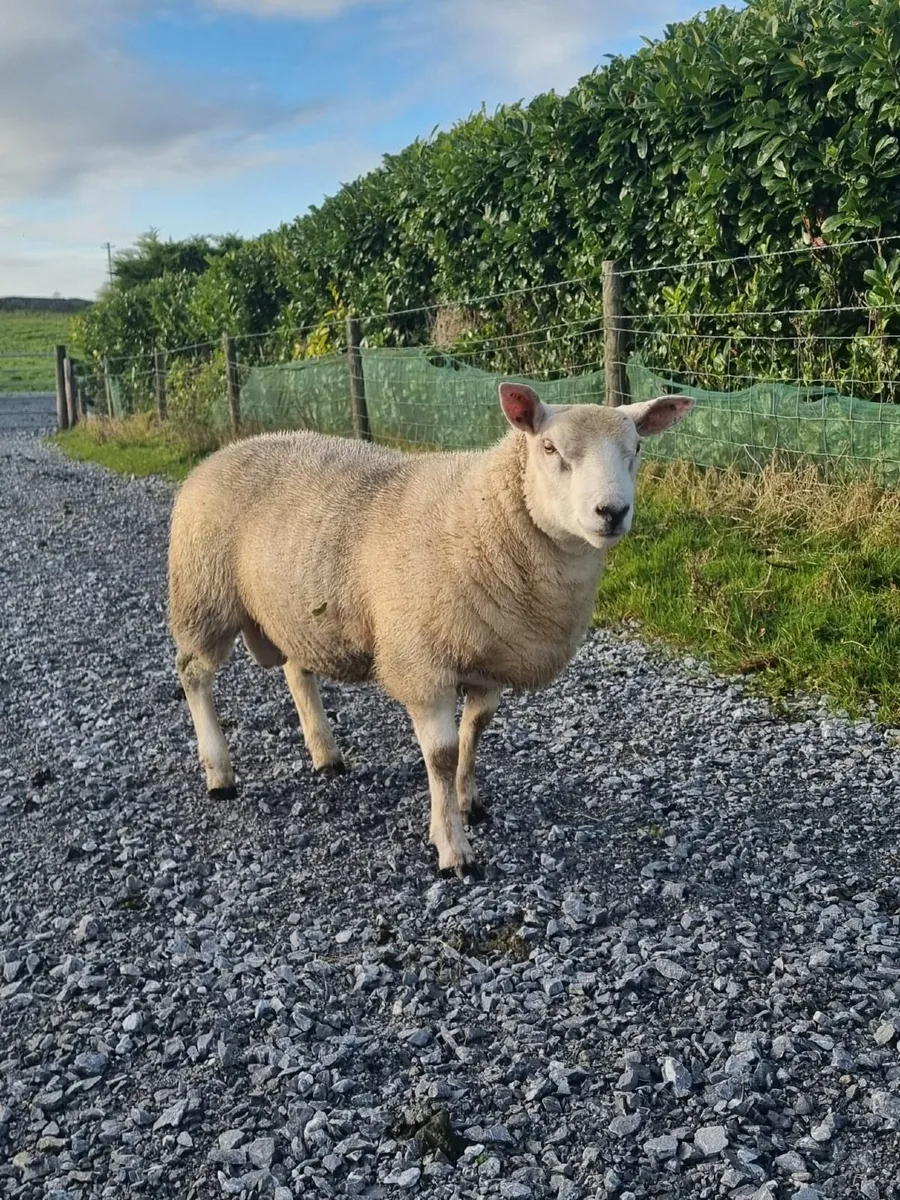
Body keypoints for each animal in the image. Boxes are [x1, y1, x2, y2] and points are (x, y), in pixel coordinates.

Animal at [168, 382, 693, 876]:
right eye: (549, 448)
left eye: (637, 449)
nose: (612, 512)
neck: (481, 513)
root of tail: (221, 453)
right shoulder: (422, 663)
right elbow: (441, 754)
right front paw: (453, 849)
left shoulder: (486, 661)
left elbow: (474, 732)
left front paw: (468, 802)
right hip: (204, 596)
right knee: (194, 674)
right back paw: (219, 774)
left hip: (300, 610)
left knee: (298, 672)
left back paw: (326, 755)